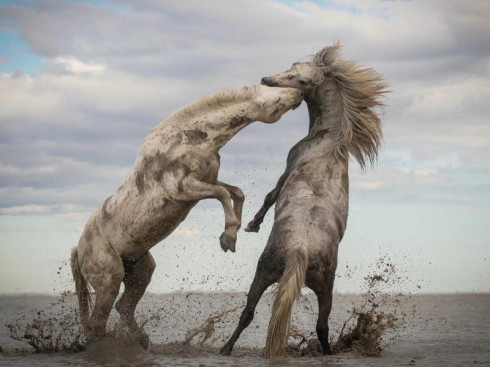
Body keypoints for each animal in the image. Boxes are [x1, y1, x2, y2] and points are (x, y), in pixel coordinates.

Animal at [71, 85, 304, 346]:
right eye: (276, 98)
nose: (299, 92)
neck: (190, 139)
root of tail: (79, 250)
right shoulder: (184, 188)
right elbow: (223, 194)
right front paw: (229, 236)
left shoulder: (206, 181)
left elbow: (236, 193)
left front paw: (236, 231)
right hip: (109, 279)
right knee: (97, 323)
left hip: (140, 270)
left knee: (124, 307)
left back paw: (142, 340)